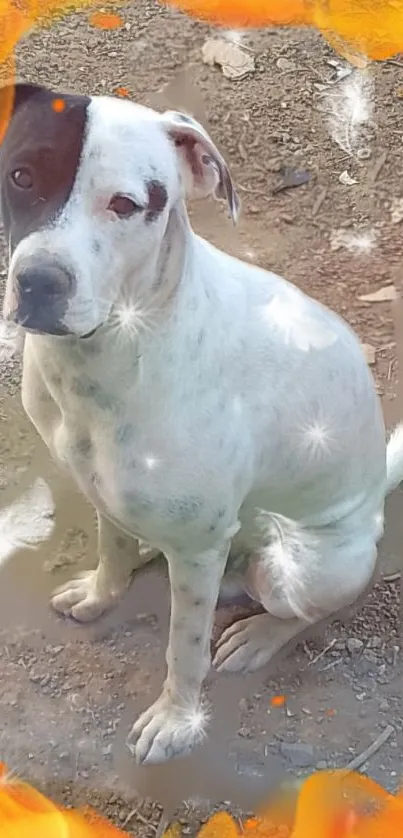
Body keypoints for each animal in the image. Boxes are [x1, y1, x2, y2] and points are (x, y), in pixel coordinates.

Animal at [2, 83, 403, 768]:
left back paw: (261, 634)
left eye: (126, 205)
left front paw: (175, 721)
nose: (39, 283)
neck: (107, 359)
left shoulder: (196, 555)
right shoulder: (101, 488)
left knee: (307, 609)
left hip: (299, 566)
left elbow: (183, 650)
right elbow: (111, 548)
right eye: (22, 176)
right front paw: (101, 594)